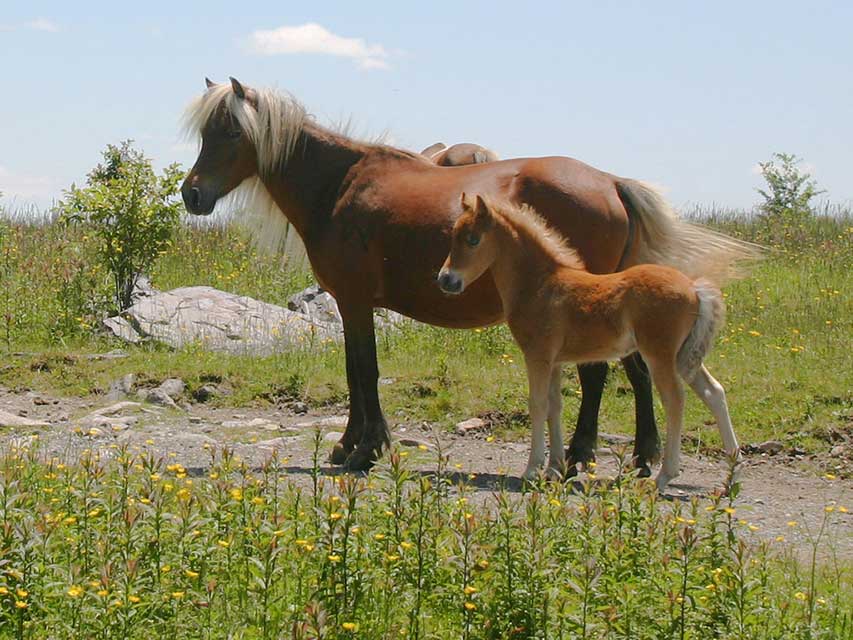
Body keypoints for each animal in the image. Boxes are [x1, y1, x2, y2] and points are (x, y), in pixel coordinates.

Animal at [180, 77, 752, 472]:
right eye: (206, 131)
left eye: (230, 130)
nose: (192, 194)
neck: (340, 185)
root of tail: (610, 182)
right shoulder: (349, 302)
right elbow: (354, 371)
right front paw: (350, 446)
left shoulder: (355, 300)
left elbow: (364, 371)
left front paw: (365, 448)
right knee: (633, 374)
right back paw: (636, 457)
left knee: (601, 376)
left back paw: (583, 457)